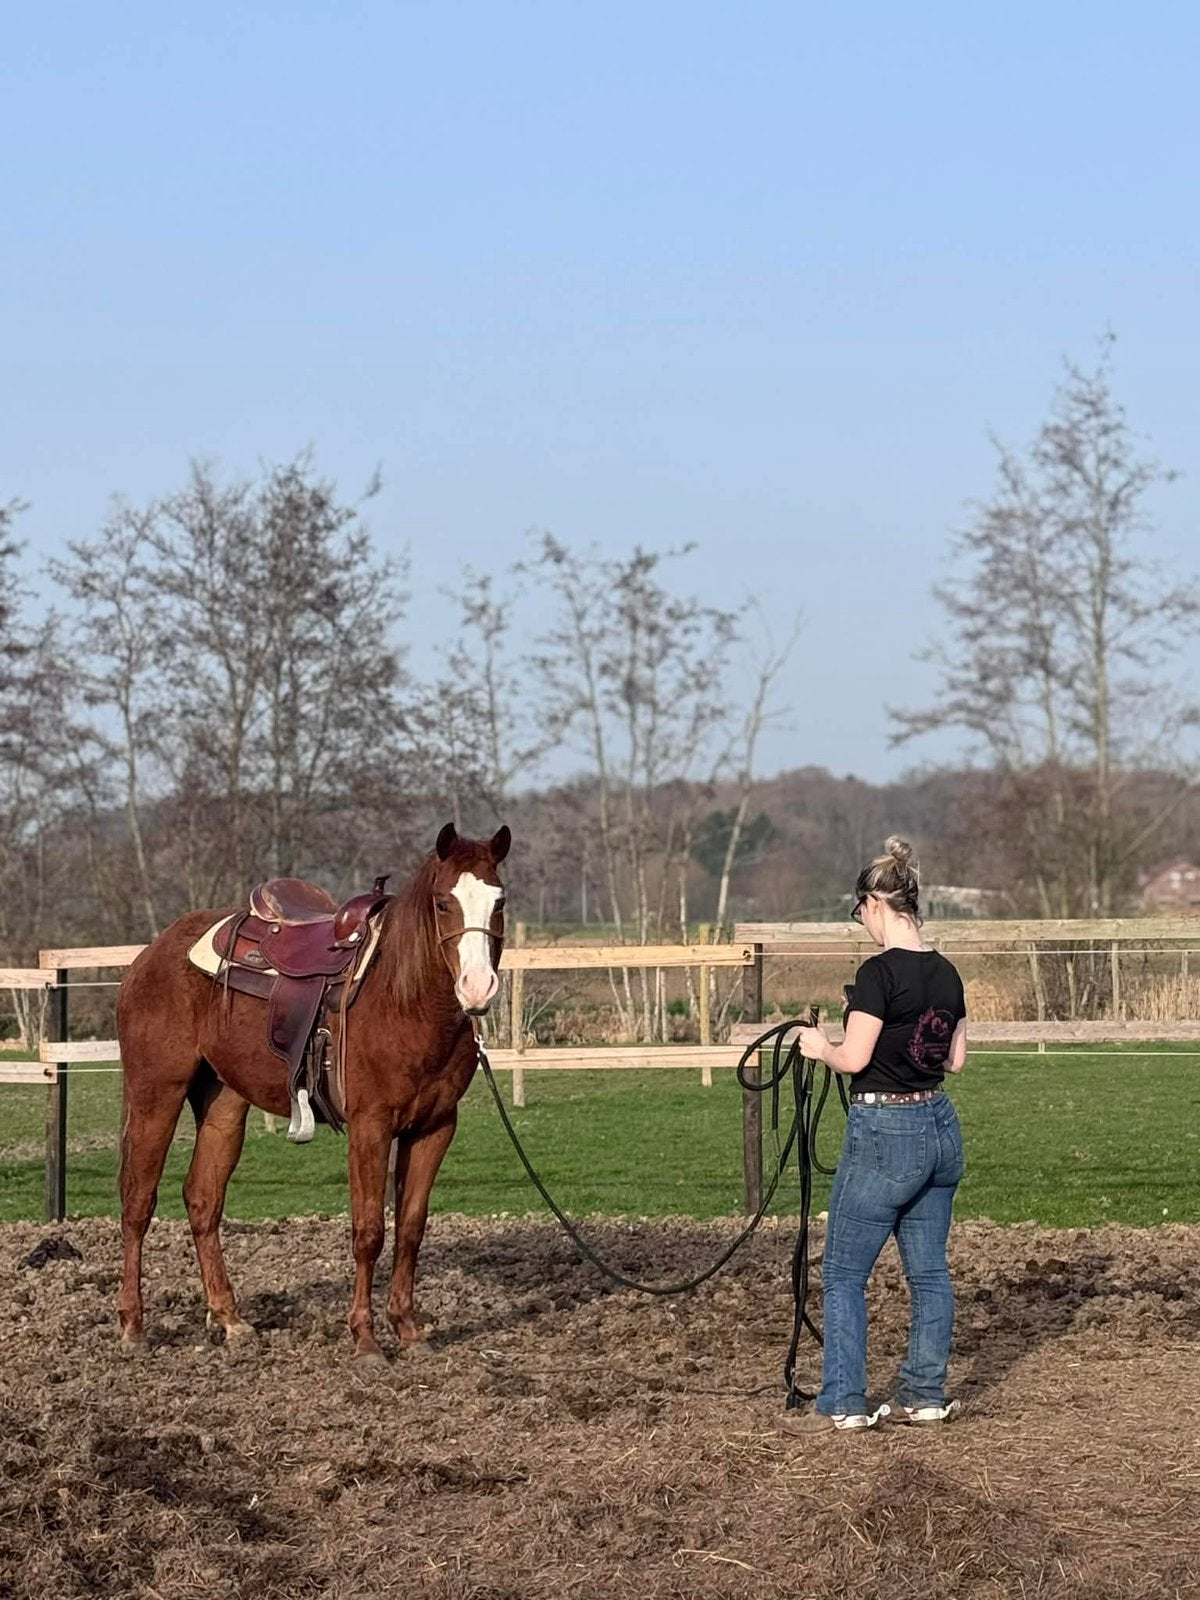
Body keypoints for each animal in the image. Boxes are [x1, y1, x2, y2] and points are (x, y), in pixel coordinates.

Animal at [116, 821, 510, 1359]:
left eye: (499, 901)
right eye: (443, 902)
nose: (477, 988)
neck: (402, 999)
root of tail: (153, 953)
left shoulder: (434, 1128)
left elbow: (411, 1229)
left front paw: (408, 1331)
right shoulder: (370, 1126)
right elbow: (369, 1231)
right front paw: (365, 1339)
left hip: (223, 1103)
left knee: (202, 1200)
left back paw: (230, 1319)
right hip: (156, 1092)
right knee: (138, 1201)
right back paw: (133, 1326)